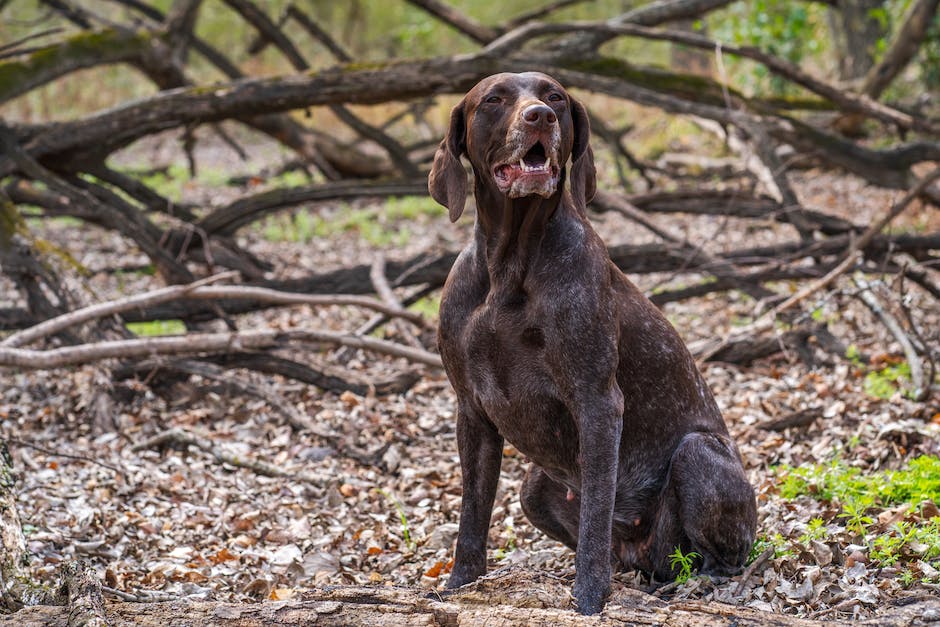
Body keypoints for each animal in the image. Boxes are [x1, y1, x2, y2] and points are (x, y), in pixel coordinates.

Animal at [426, 72, 756, 612]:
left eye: (554, 95)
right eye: (494, 98)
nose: (540, 116)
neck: (509, 268)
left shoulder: (597, 402)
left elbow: (596, 514)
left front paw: (589, 596)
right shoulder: (472, 411)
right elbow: (472, 515)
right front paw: (460, 585)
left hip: (698, 453)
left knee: (718, 557)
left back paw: (693, 583)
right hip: (535, 487)